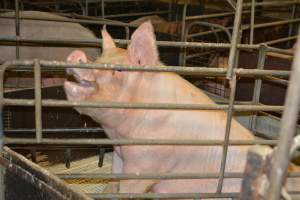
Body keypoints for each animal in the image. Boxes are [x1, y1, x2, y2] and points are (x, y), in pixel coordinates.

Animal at [63, 21, 300, 195]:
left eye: (120, 70)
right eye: (100, 59)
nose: (77, 55)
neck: (121, 135)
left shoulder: (146, 164)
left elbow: (128, 189)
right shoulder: (121, 155)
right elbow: (114, 180)